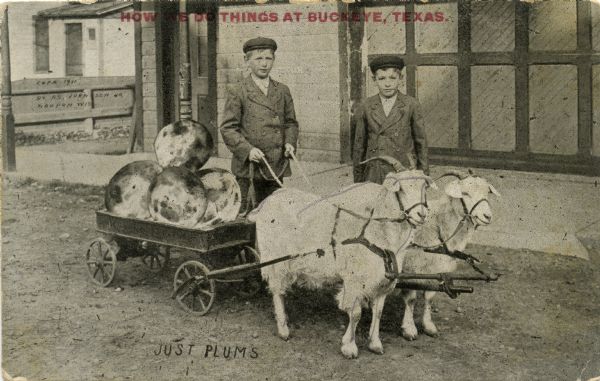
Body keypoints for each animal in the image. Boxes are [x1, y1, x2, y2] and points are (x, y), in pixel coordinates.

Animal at [246, 157, 434, 356]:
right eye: (401, 188)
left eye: (424, 187)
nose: (421, 214)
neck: (375, 226)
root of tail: (265, 203)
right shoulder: (354, 278)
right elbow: (355, 312)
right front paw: (349, 346)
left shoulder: (382, 280)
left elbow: (378, 311)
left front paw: (375, 343)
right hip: (274, 259)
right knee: (277, 291)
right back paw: (283, 328)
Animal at [396, 171, 500, 338]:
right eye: (465, 193)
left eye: (487, 193)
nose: (487, 216)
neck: (438, 225)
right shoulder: (410, 267)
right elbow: (411, 298)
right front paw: (409, 328)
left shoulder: (437, 268)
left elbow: (430, 297)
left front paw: (428, 325)